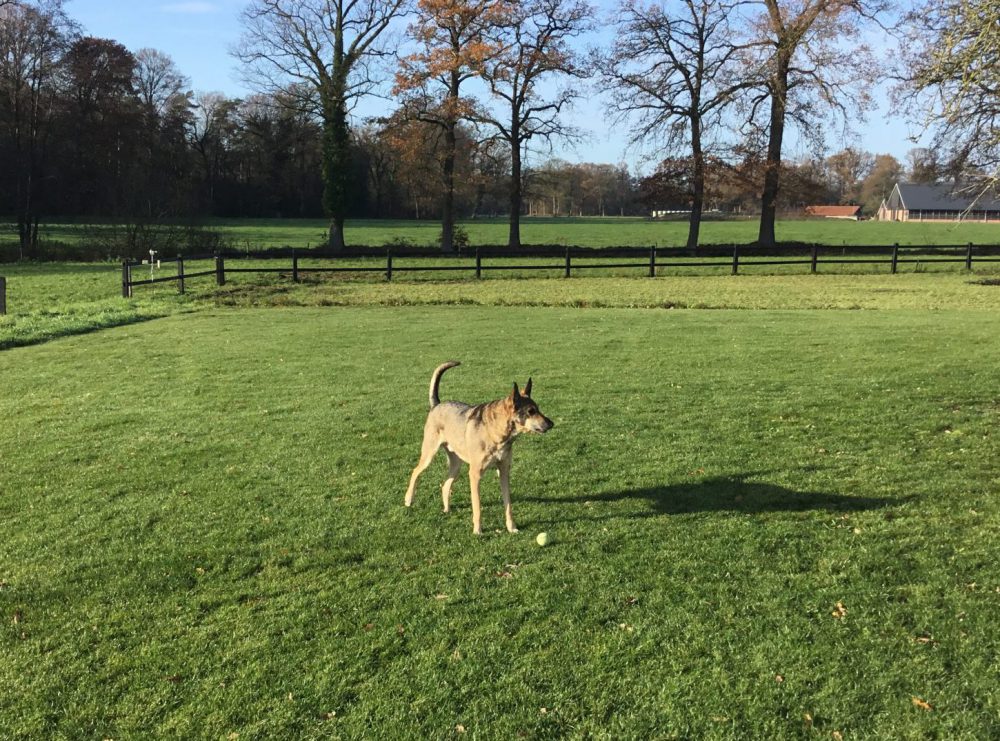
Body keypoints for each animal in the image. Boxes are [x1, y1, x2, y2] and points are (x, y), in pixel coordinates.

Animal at [404, 361, 554, 534]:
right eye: (531, 411)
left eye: (538, 408)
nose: (551, 424)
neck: (497, 433)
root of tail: (437, 404)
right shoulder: (474, 474)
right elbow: (477, 507)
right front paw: (478, 531)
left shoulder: (504, 471)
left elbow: (508, 505)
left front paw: (512, 528)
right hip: (429, 454)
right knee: (415, 472)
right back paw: (408, 499)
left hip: (456, 465)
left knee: (445, 485)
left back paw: (446, 509)